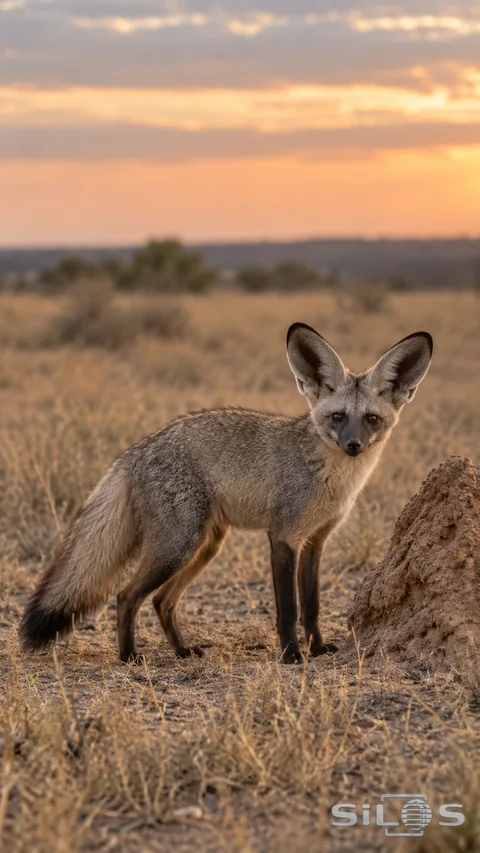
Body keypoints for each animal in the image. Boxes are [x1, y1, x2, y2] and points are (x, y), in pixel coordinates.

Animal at [19, 323, 433, 665]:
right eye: (337, 417)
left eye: (371, 419)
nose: (353, 446)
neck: (330, 479)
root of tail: (138, 448)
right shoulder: (284, 536)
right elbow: (288, 609)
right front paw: (291, 655)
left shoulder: (315, 541)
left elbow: (312, 606)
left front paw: (316, 649)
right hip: (178, 546)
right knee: (127, 596)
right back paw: (128, 657)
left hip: (205, 547)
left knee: (161, 601)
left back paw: (182, 651)